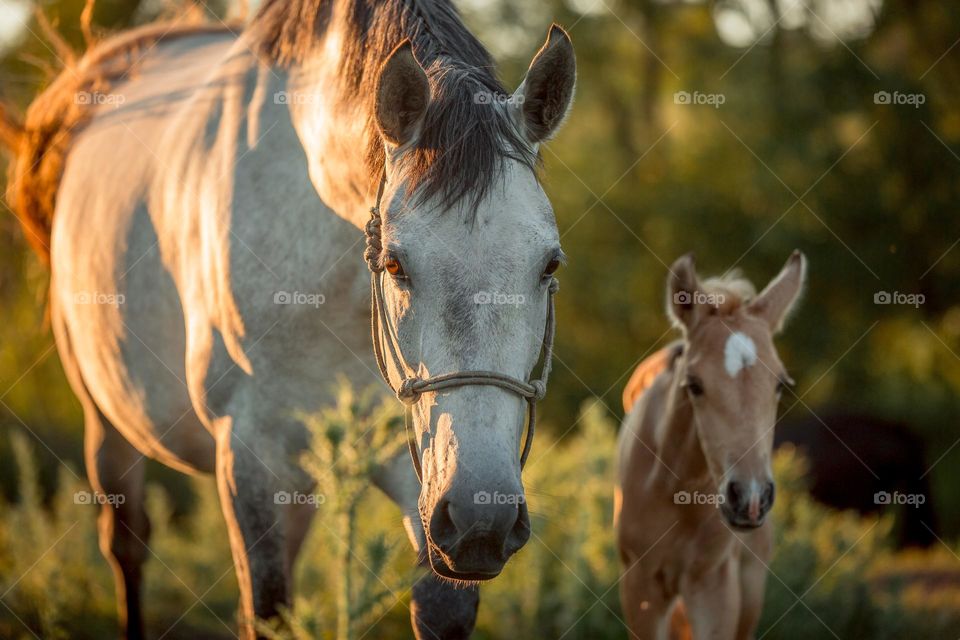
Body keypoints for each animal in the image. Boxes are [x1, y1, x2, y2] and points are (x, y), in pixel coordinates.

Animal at [0, 2, 572, 636]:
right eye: (394, 263)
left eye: (549, 264)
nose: (481, 520)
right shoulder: (250, 452)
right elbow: (267, 607)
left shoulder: (420, 469)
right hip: (107, 419)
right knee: (127, 544)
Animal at [616, 252, 804, 636]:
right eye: (694, 384)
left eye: (779, 384)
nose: (750, 498)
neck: (675, 491)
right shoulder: (640, 587)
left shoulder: (714, 585)